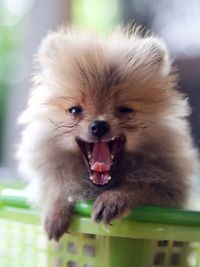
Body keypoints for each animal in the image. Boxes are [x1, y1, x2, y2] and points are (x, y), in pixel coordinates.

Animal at [16, 26, 198, 242]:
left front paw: (113, 199)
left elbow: (139, 186)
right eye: (75, 110)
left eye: (125, 110)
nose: (99, 126)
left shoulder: (168, 196)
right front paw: (55, 211)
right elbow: (58, 189)